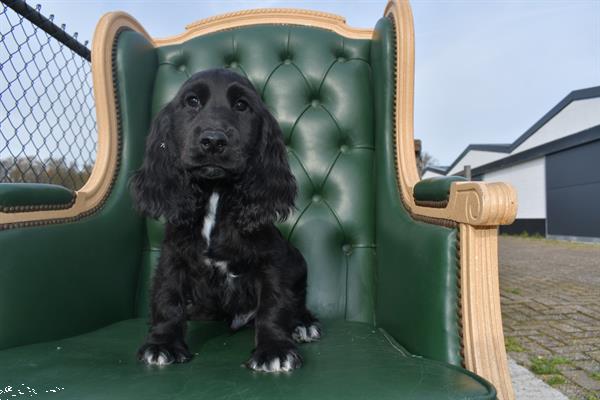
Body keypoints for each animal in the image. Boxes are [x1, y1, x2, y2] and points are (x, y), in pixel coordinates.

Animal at [129, 68, 322, 372]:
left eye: (242, 105)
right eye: (192, 101)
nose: (213, 141)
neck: (215, 193)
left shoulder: (271, 261)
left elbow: (274, 304)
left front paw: (275, 349)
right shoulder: (173, 257)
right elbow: (167, 298)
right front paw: (162, 344)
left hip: (297, 260)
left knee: (296, 302)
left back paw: (303, 324)